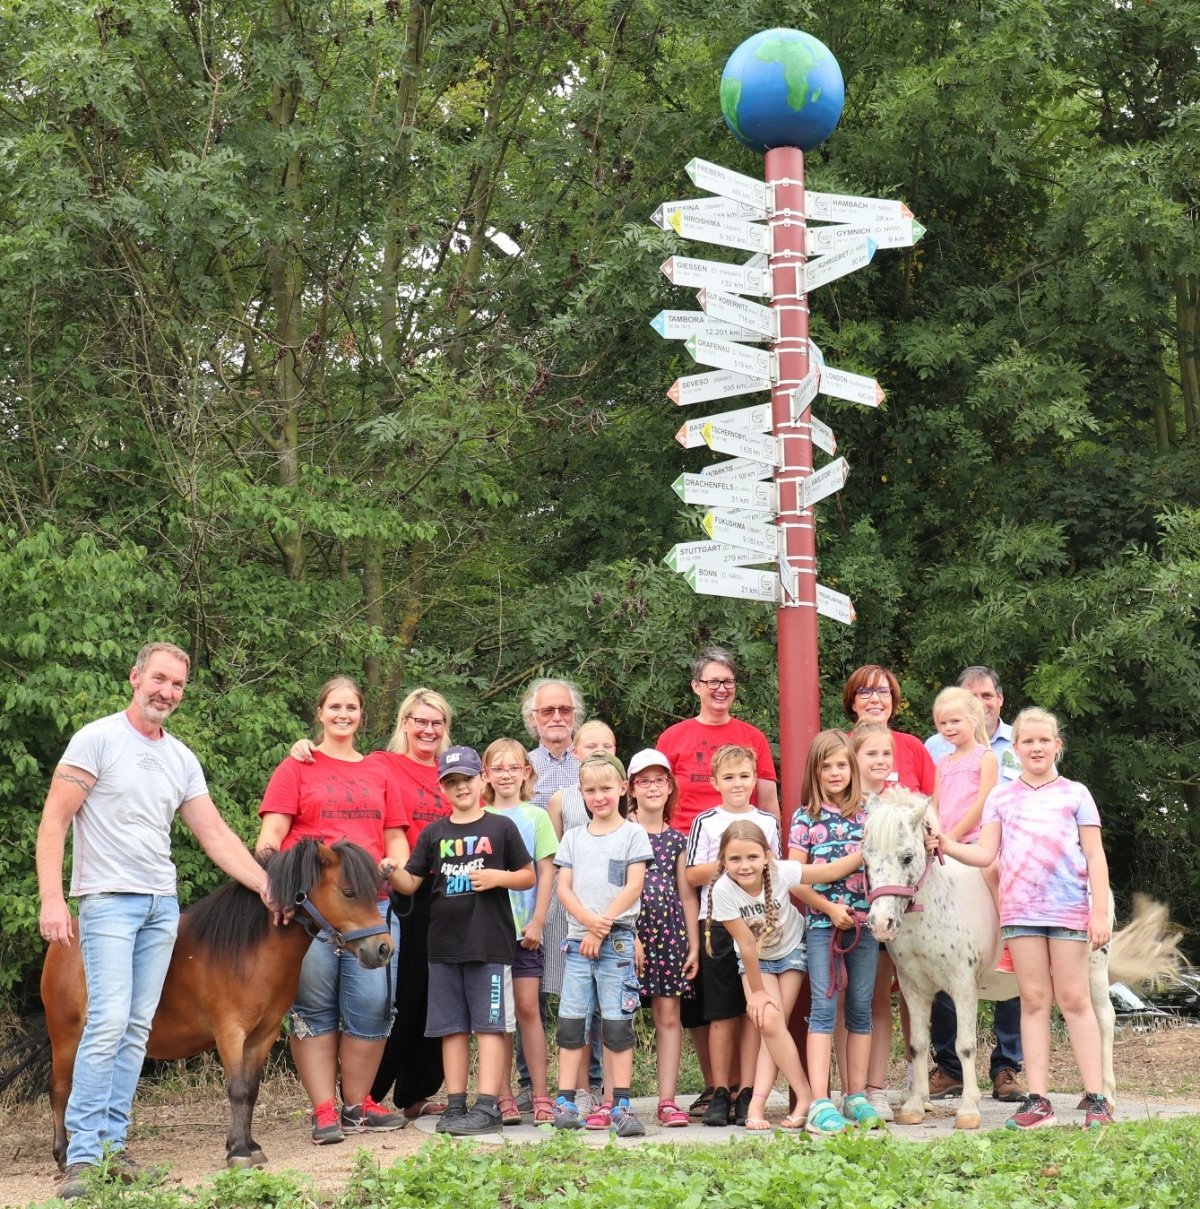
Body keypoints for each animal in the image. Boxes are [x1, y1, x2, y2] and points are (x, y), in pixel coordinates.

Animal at [39, 841, 389, 1170]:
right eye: (348, 892)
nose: (384, 948)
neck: (250, 951)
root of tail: (64, 940)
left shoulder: (262, 1036)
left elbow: (250, 1091)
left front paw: (249, 1145)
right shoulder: (230, 1033)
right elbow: (236, 1090)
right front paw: (238, 1152)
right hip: (67, 1035)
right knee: (61, 1090)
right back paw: (63, 1155)